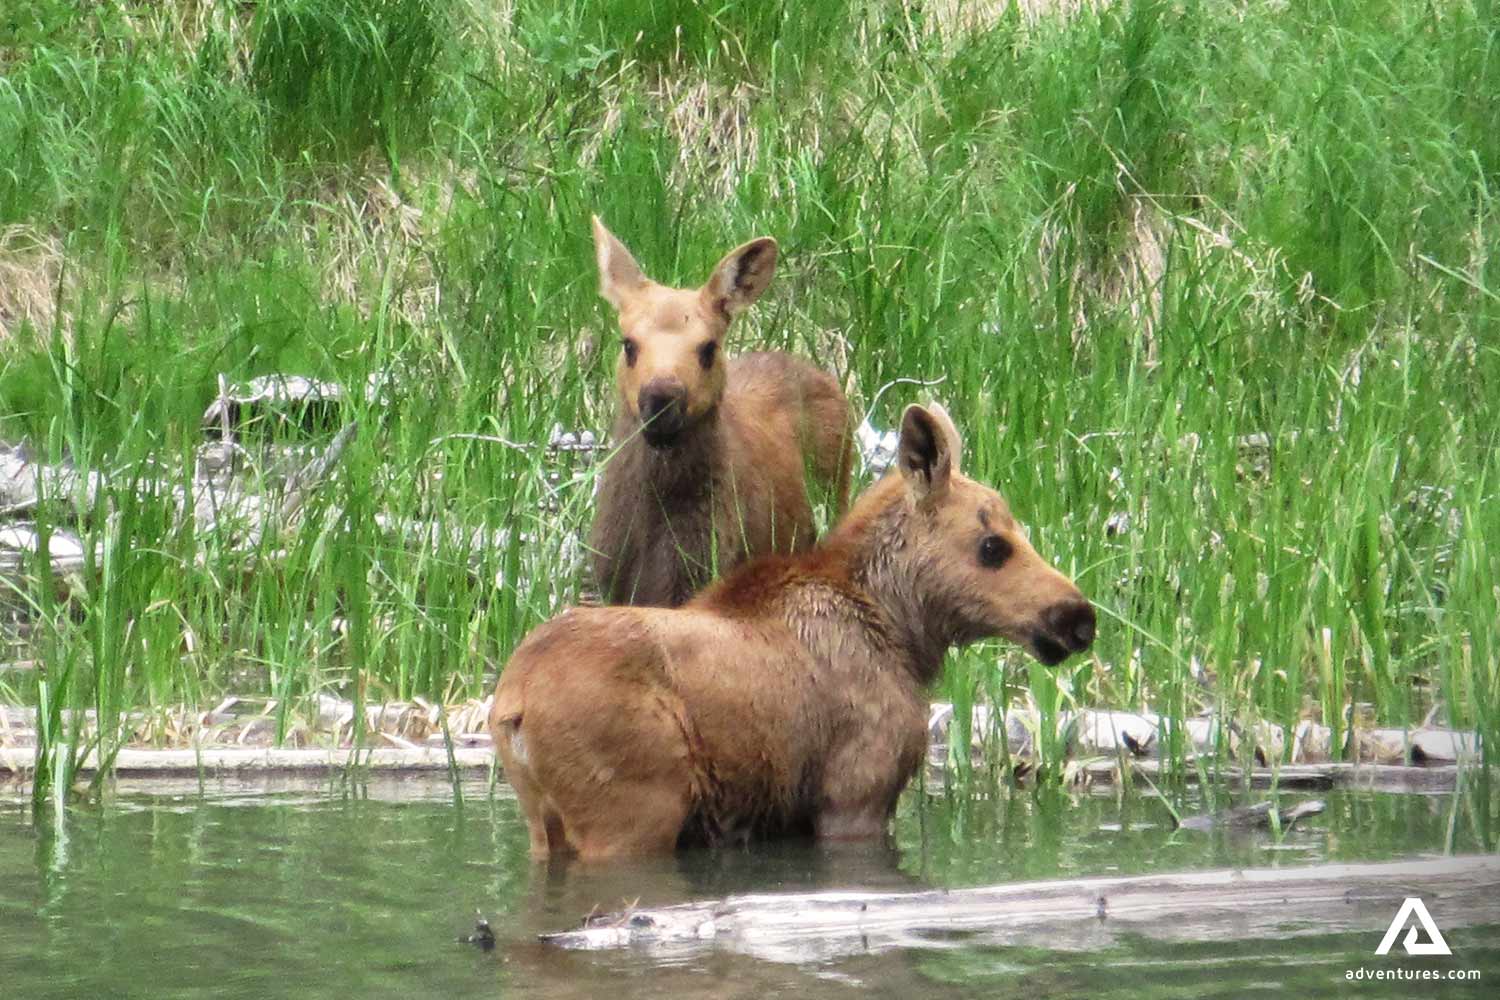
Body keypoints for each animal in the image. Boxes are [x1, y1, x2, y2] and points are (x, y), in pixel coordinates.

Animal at [490, 402, 1097, 859]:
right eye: (993, 546)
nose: (1077, 618)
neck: (906, 635)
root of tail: (513, 704)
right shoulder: (856, 793)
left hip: (544, 822)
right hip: (629, 814)